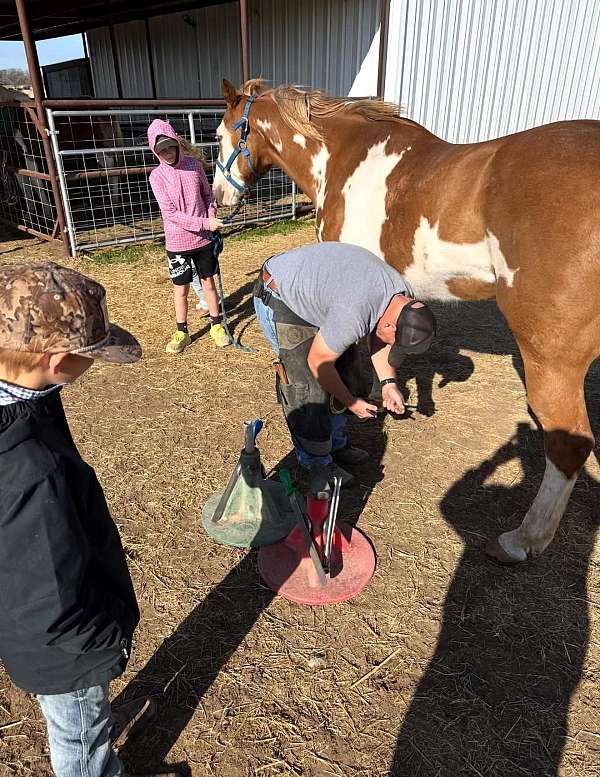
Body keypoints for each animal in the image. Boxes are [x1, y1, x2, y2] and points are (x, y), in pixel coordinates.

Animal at [212, 78, 600, 565]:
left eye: (218, 136)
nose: (218, 197)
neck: (339, 156)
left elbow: (348, 366)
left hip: (550, 356)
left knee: (569, 443)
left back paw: (521, 540)